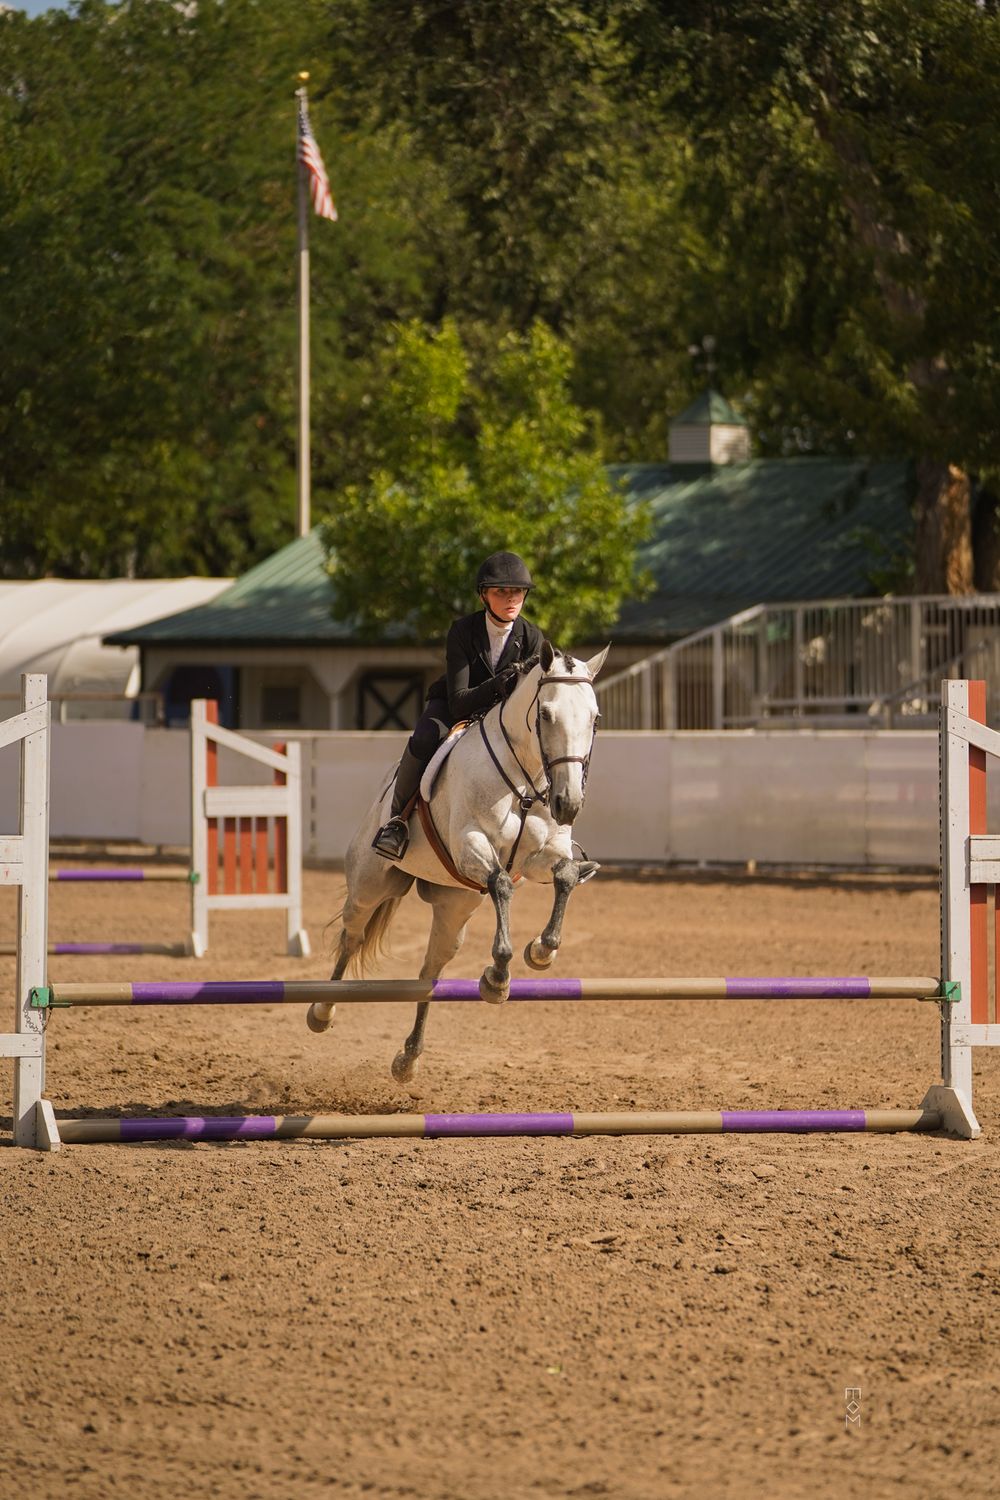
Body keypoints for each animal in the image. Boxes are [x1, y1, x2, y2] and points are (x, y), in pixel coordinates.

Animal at [306, 639, 609, 1084]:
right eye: (545, 714)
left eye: (594, 718)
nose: (567, 804)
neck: (525, 781)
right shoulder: (470, 845)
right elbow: (501, 883)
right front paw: (498, 977)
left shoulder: (542, 856)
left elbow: (566, 875)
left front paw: (540, 951)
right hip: (368, 885)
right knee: (352, 936)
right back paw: (322, 1011)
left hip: (455, 907)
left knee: (429, 972)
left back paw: (408, 1058)